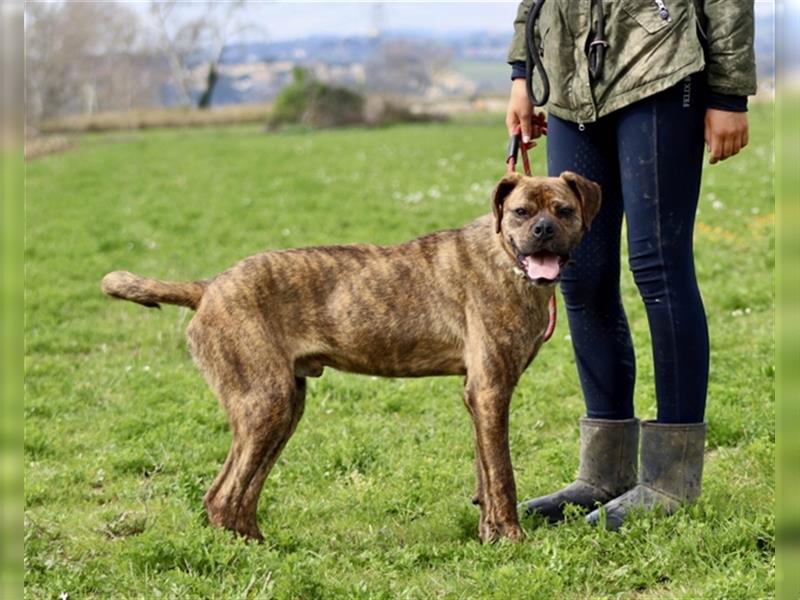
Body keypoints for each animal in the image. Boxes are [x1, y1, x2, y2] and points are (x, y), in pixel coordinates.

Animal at [101, 170, 600, 544]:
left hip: (283, 408)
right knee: (223, 495)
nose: (543, 230)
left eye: (564, 210)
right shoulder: (491, 389)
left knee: (242, 492)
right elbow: (502, 476)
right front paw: (512, 539)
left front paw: (489, 535)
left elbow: (485, 472)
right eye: (521, 212)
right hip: (265, 404)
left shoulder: (480, 395)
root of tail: (207, 288)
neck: (505, 258)